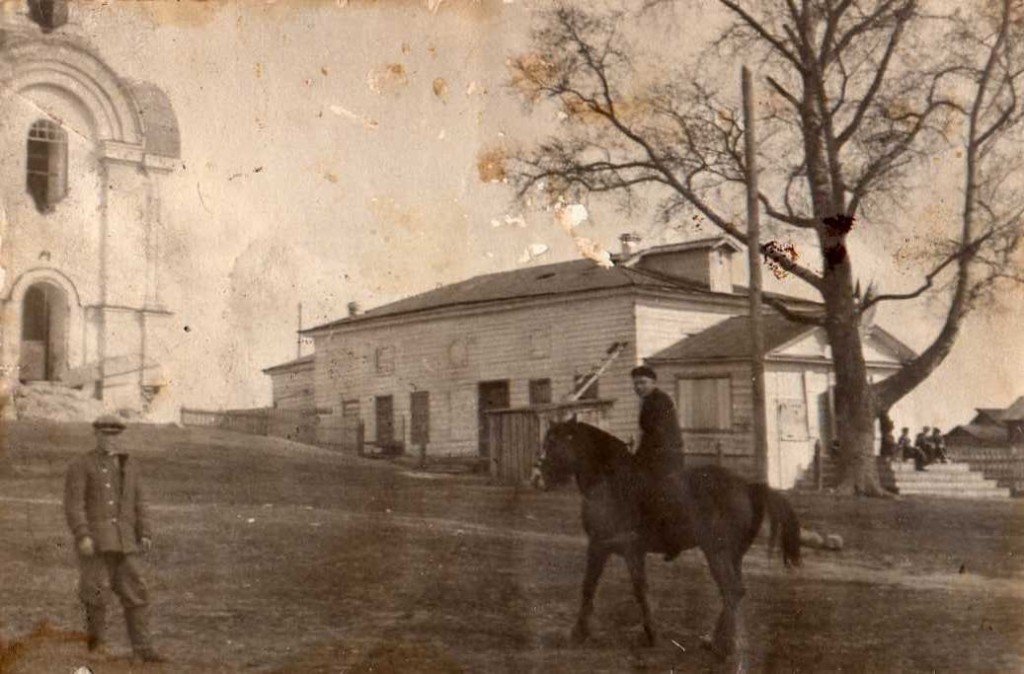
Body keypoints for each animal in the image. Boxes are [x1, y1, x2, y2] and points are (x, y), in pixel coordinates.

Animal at [536, 417, 798, 655]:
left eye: (553, 443)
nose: (539, 479)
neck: (610, 482)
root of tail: (747, 486)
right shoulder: (620, 550)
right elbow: (620, 588)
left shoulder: (606, 547)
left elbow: (608, 588)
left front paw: (582, 632)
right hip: (733, 555)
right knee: (734, 592)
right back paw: (717, 640)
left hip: (717, 552)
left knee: (732, 591)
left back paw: (722, 646)